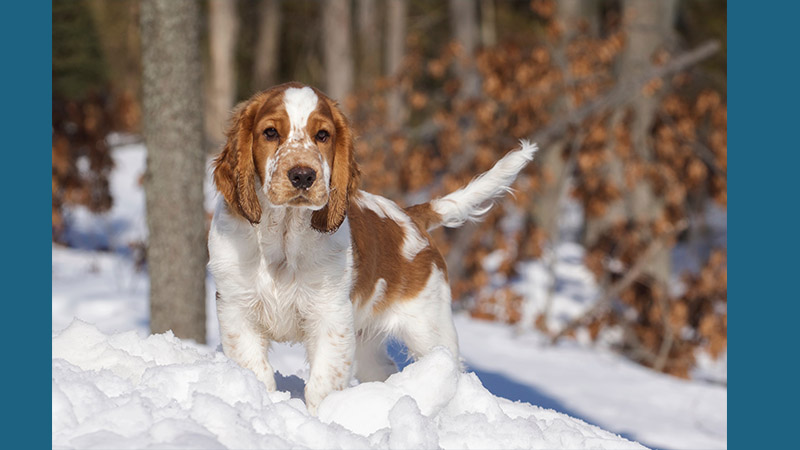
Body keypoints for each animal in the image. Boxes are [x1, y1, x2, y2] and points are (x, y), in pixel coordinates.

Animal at [209, 81, 540, 414]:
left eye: (323, 135)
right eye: (270, 132)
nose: (303, 176)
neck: (284, 233)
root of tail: (411, 216)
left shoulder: (331, 316)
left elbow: (322, 383)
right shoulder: (237, 310)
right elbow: (256, 370)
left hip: (430, 328)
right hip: (367, 339)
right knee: (384, 369)